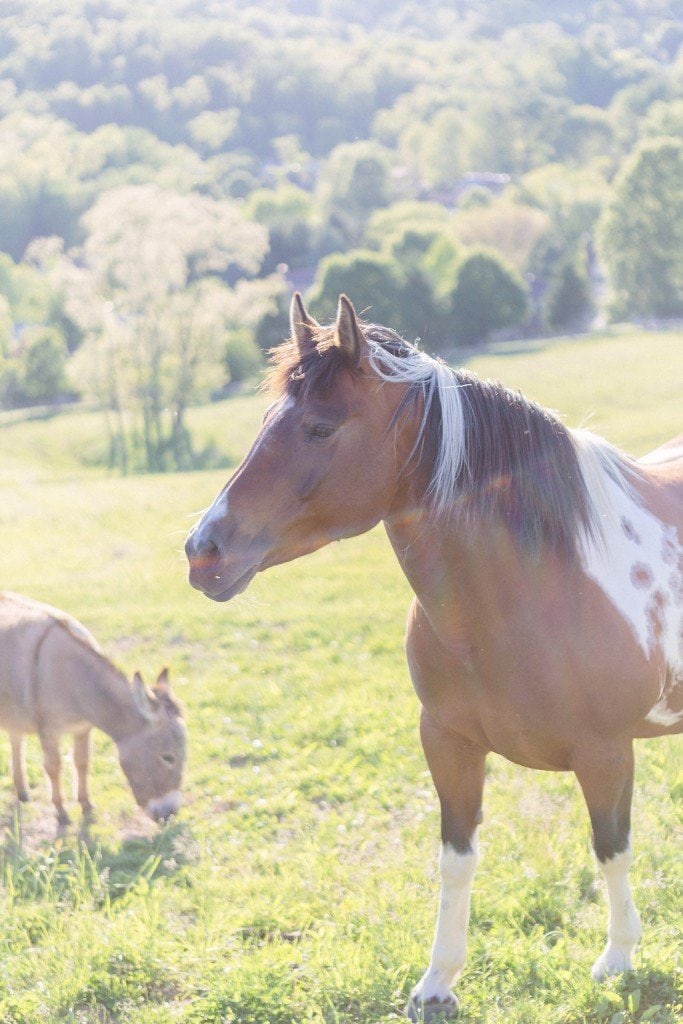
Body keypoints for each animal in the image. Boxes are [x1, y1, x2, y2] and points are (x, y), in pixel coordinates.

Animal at [184, 292, 679, 1019]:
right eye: (268, 421)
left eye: (321, 428)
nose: (203, 551)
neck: (534, 588)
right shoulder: (446, 742)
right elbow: (456, 858)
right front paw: (437, 980)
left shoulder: (607, 752)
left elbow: (609, 848)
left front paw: (617, 959)